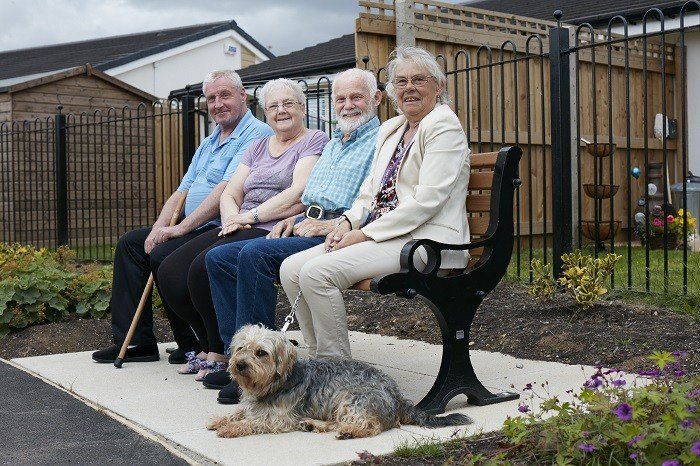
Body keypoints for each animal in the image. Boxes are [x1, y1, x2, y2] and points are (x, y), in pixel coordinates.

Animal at [208, 326, 470, 438]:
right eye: (241, 348)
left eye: (261, 352)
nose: (239, 365)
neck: (273, 384)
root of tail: (398, 397)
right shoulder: (254, 407)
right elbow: (240, 413)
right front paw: (221, 420)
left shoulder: (279, 419)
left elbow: (253, 422)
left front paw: (230, 428)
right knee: (337, 422)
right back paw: (314, 425)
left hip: (350, 397)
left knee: (370, 426)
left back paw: (349, 431)